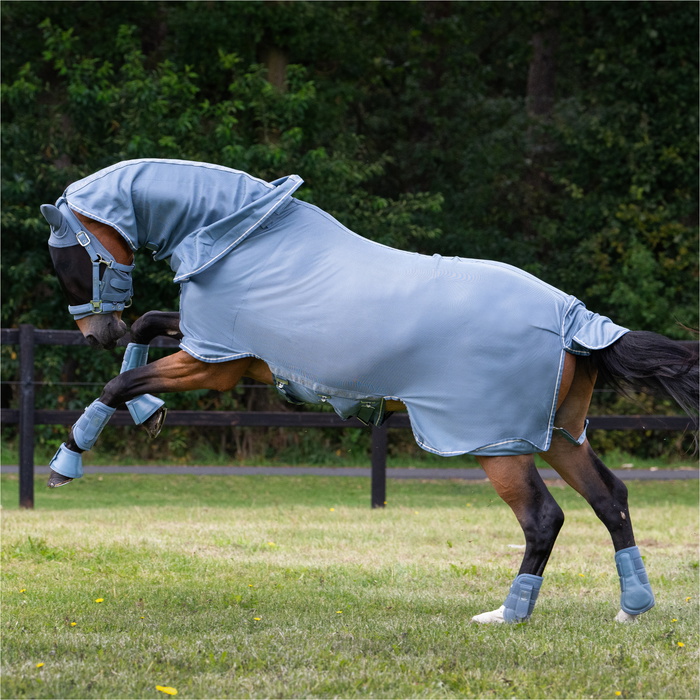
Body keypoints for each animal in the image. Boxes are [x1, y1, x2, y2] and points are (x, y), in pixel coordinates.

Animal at [41, 158, 698, 625]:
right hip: (560, 435)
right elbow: (149, 327)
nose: (97, 333)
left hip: (498, 446)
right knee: (611, 499)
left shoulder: (214, 364)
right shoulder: (225, 354)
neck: (241, 240)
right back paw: (632, 607)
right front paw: (148, 413)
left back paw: (508, 615)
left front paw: (68, 460)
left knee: (543, 519)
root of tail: (576, 320)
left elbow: (119, 379)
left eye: (68, 258)